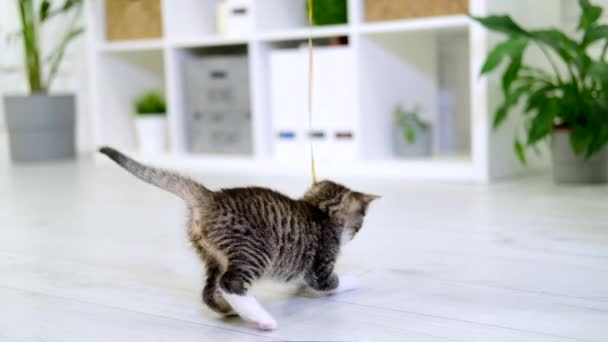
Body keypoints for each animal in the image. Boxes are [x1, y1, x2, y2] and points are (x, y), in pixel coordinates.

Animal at [99, 147, 376, 332]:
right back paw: (262, 319)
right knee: (230, 283)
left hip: (212, 256)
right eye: (359, 226)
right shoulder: (321, 265)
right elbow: (331, 282)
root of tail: (211, 197)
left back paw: (229, 310)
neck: (319, 210)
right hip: (255, 251)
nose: (354, 234)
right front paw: (354, 280)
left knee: (209, 292)